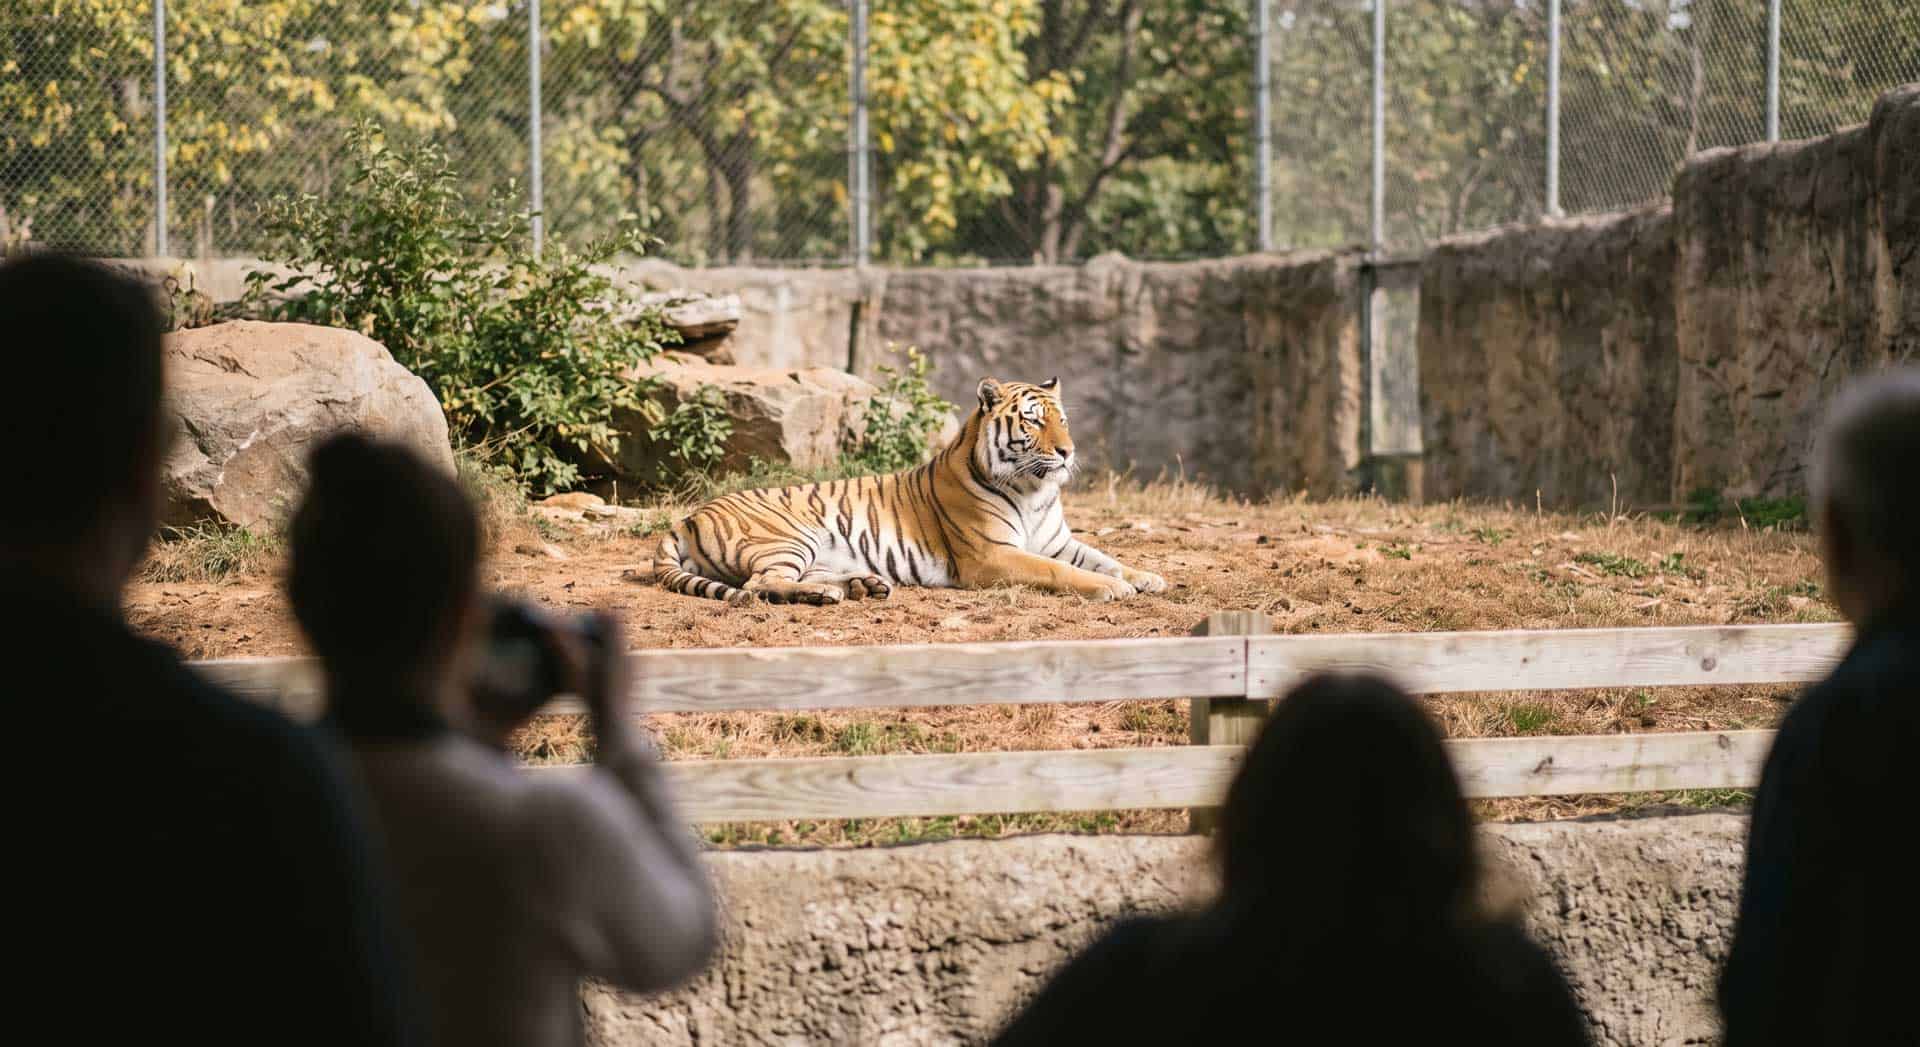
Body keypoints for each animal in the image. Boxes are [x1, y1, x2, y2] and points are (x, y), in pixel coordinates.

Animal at [652, 376, 1168, 605]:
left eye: (1063, 420)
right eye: (1033, 421)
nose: (1067, 451)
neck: (1035, 491)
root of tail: (688, 516)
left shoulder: (1058, 541)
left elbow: (1104, 557)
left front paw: (1146, 577)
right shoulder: (993, 555)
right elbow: (1062, 572)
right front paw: (1113, 588)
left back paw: (863, 585)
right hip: (789, 537)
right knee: (759, 584)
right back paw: (828, 595)